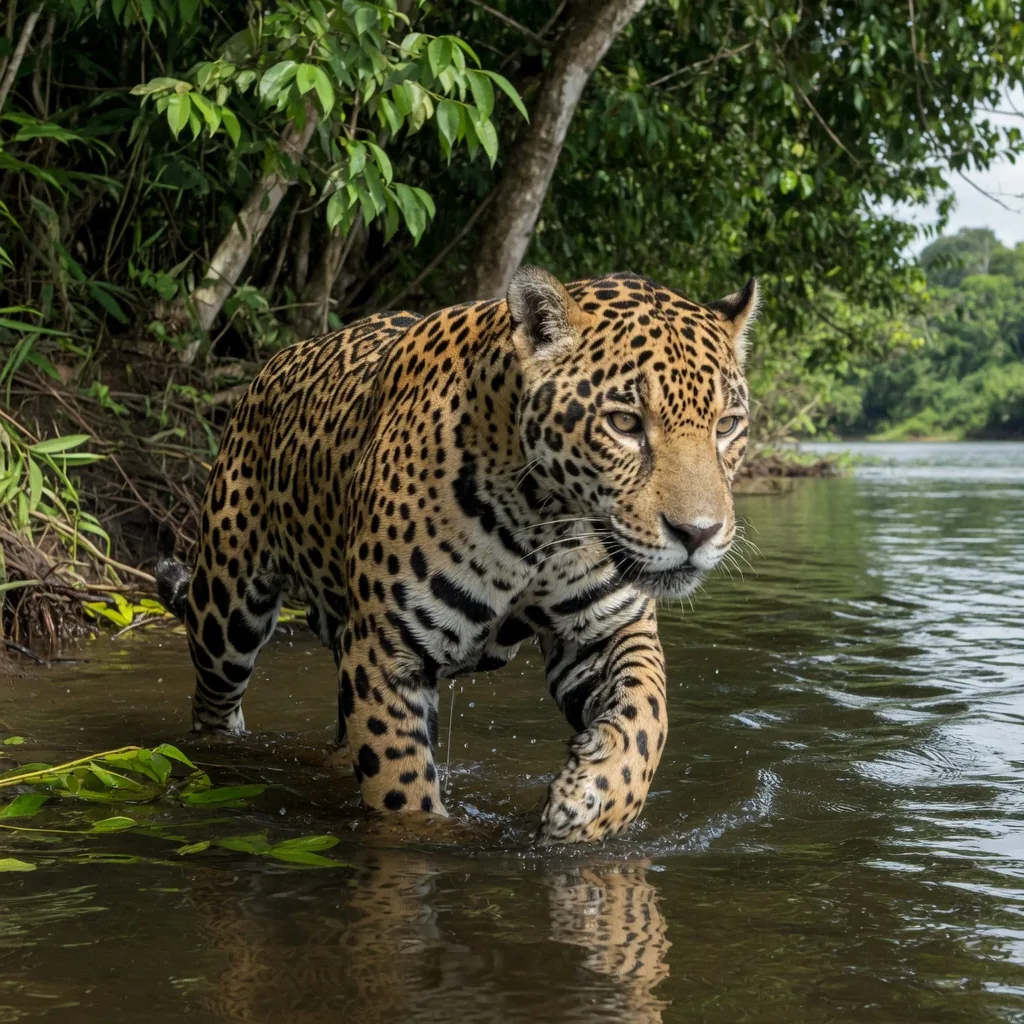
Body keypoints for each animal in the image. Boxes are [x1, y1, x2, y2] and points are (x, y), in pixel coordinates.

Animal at [155, 265, 758, 844]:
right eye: (625, 423)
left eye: (726, 426)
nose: (698, 534)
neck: (541, 523)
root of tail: (273, 364)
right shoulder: (386, 653)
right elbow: (399, 787)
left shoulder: (606, 631)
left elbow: (647, 715)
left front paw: (589, 808)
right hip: (225, 614)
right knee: (211, 706)